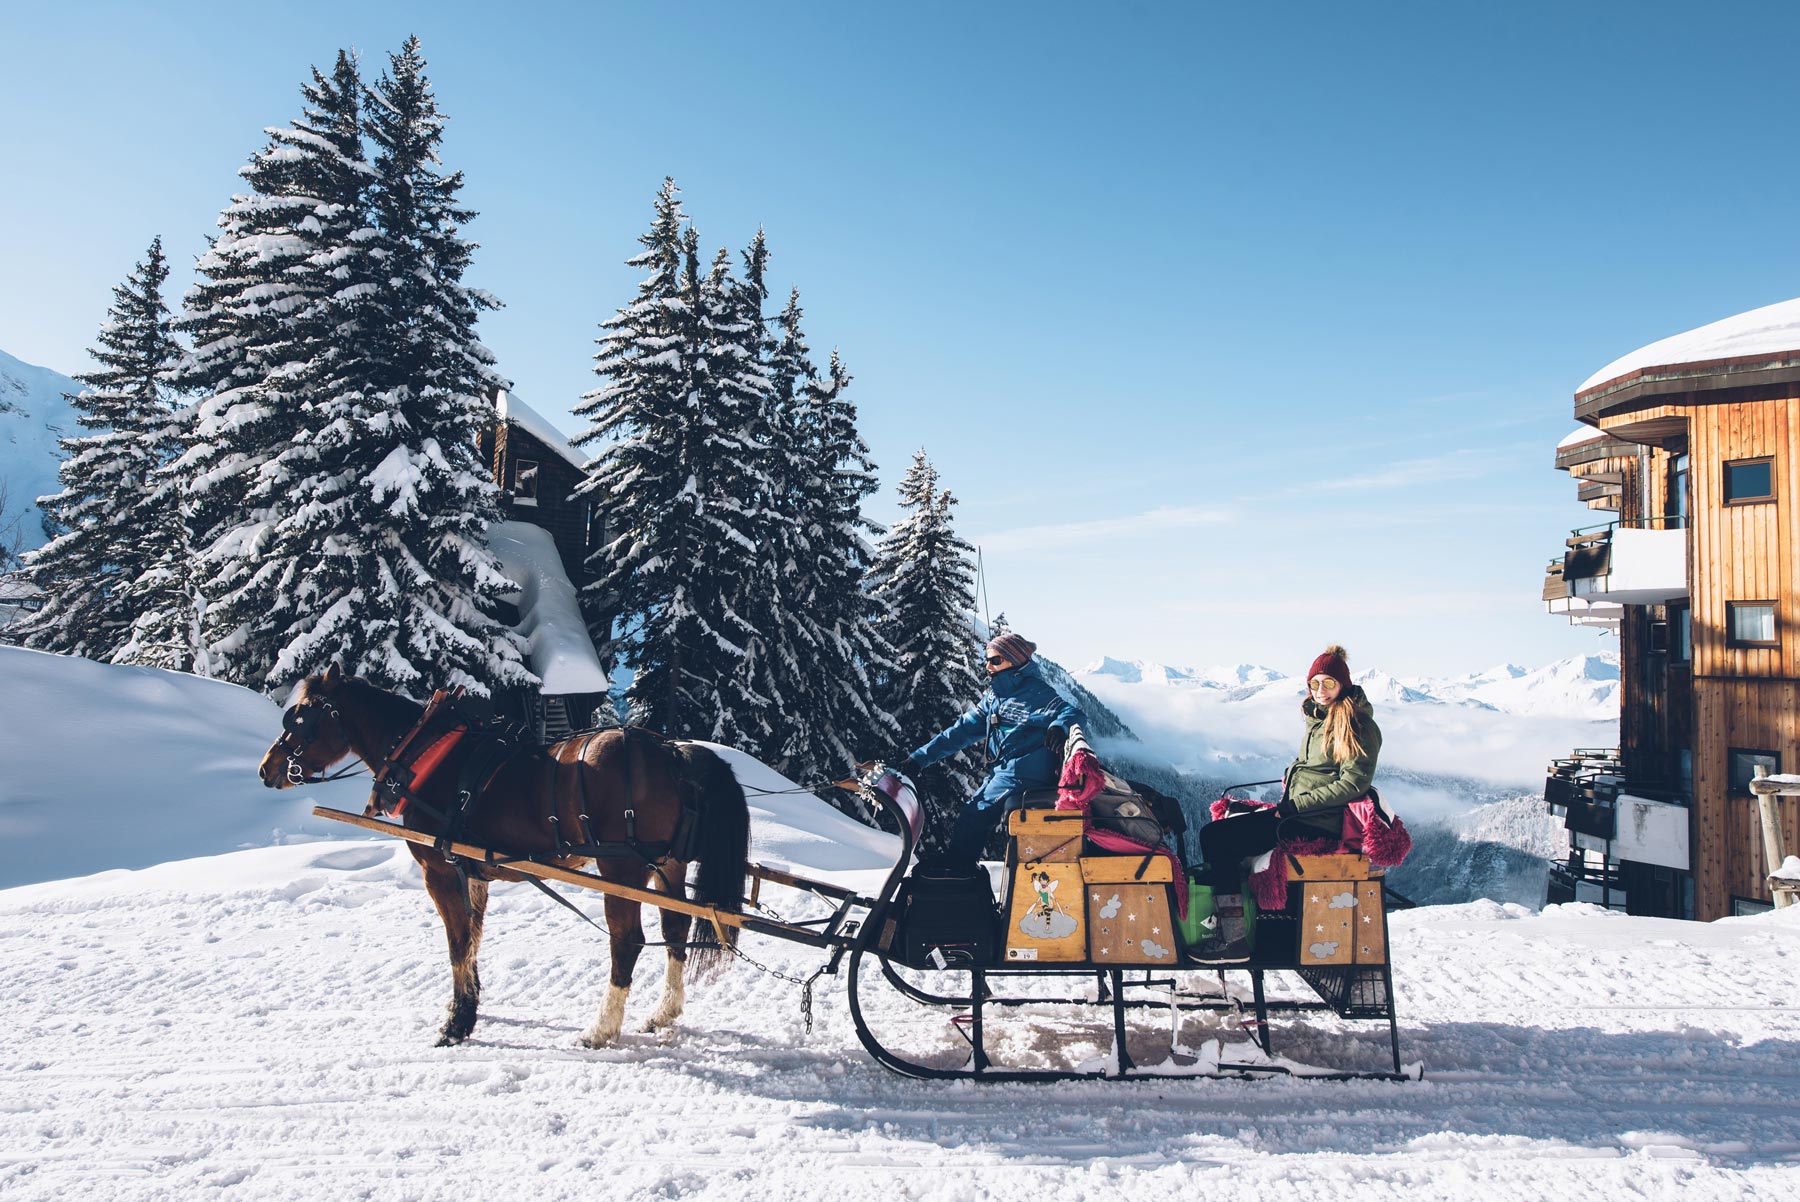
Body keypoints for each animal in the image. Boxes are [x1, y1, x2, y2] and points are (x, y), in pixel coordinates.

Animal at [257, 662, 748, 1043]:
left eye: (299, 718)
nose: (266, 769)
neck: (425, 753)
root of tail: (672, 752)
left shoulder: (437, 870)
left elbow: (456, 944)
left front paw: (456, 1025)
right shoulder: (472, 872)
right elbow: (473, 940)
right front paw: (467, 1007)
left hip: (622, 869)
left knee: (627, 942)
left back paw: (601, 1029)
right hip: (667, 866)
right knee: (676, 929)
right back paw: (663, 1014)